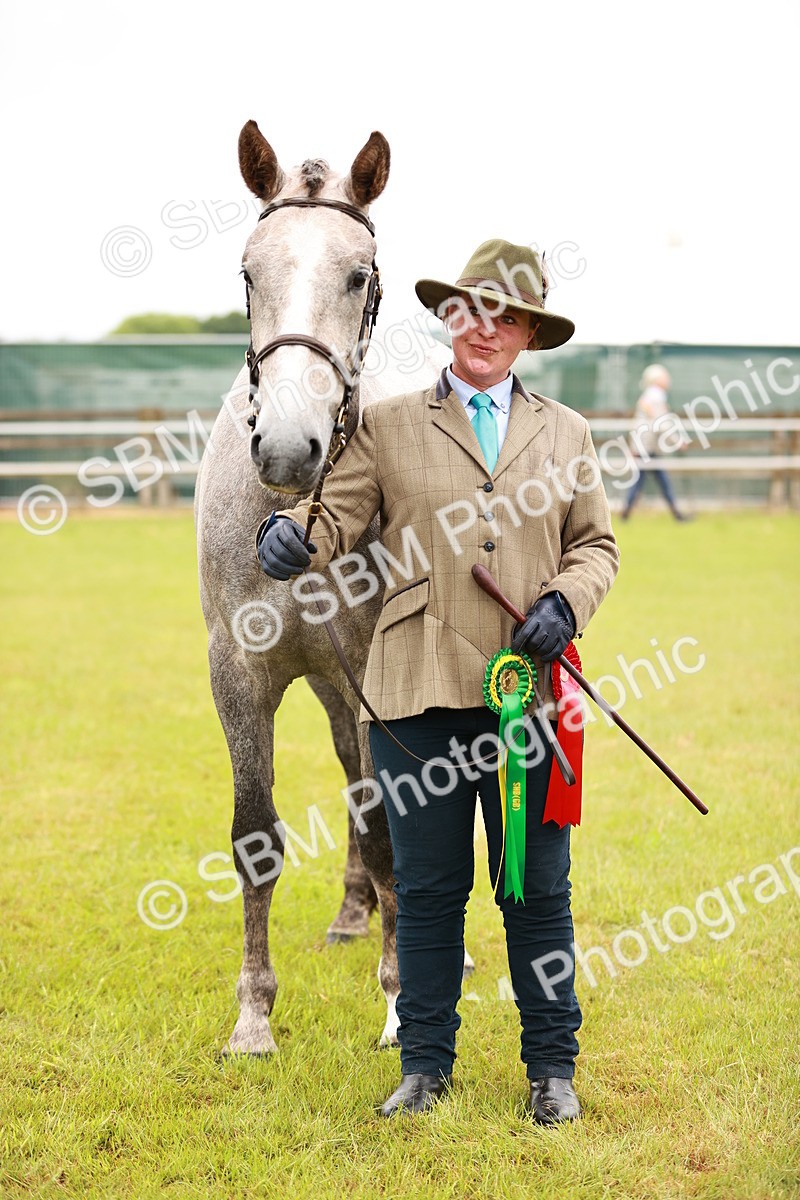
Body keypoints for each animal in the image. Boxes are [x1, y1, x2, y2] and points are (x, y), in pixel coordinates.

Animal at [195, 121, 448, 1055]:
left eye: (359, 275)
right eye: (248, 271)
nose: (287, 446)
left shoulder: (377, 673)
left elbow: (386, 830)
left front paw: (399, 1000)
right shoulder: (238, 675)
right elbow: (254, 837)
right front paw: (252, 1017)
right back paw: (350, 914)